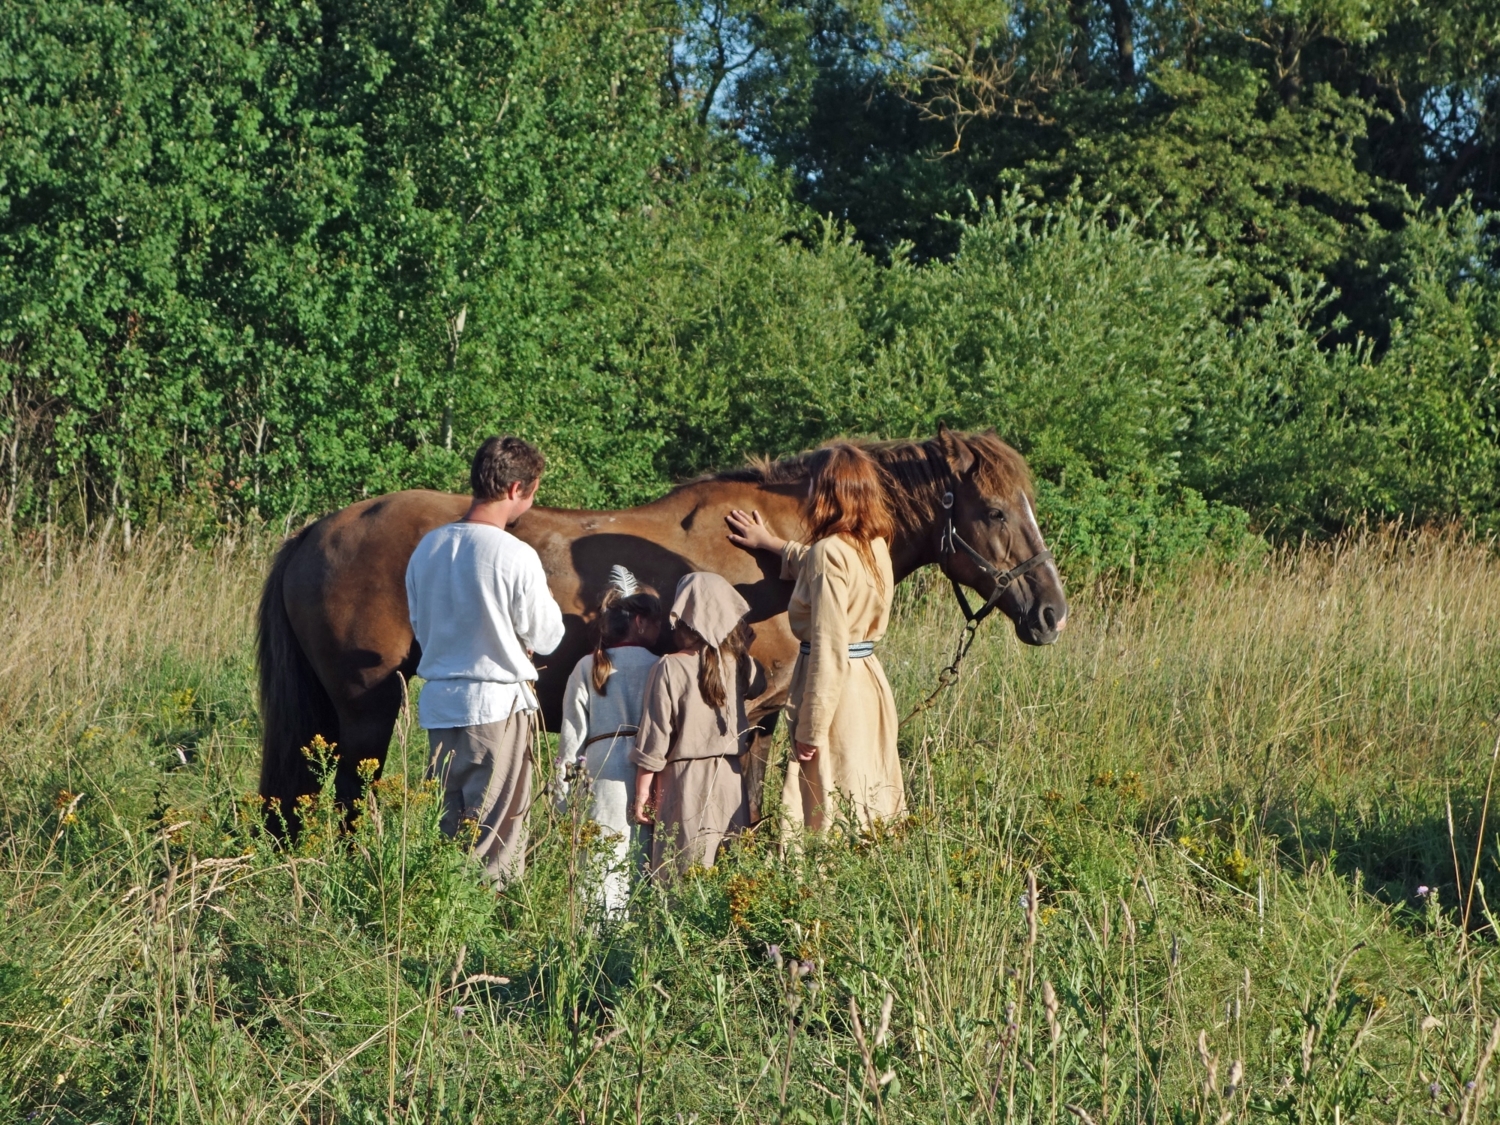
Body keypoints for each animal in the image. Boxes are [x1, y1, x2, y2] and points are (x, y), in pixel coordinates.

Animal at [255, 429, 1068, 828]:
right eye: (996, 510)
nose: (1051, 612)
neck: (775, 550)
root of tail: (316, 532)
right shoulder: (744, 716)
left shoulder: (758, 721)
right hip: (366, 708)